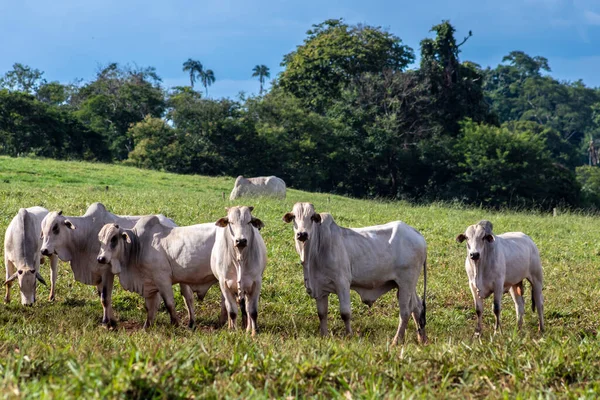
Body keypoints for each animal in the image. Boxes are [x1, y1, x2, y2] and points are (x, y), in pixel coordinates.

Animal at [212, 205, 266, 336]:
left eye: (249, 222)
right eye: (230, 222)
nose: (241, 241)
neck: (239, 257)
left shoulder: (256, 284)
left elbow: (252, 311)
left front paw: (253, 333)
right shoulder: (224, 284)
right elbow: (232, 311)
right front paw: (233, 331)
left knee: (246, 307)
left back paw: (248, 328)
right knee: (228, 306)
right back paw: (230, 326)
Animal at [282, 202, 426, 346]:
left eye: (312, 217)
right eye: (294, 217)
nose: (302, 234)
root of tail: (418, 235)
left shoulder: (342, 283)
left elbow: (345, 313)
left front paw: (349, 336)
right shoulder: (320, 288)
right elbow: (322, 313)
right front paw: (324, 336)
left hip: (406, 282)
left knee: (405, 311)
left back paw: (396, 340)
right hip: (407, 285)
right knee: (417, 306)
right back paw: (422, 339)